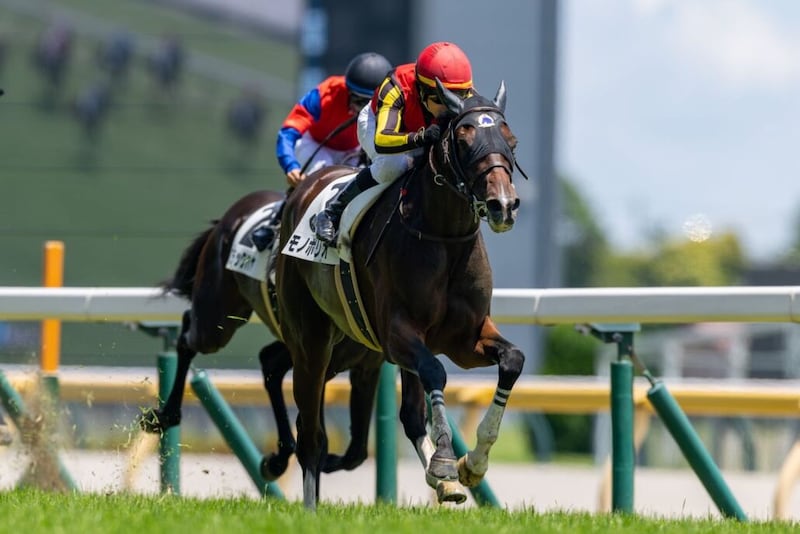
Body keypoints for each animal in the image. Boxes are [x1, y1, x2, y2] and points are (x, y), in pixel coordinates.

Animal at [138, 188, 383, 480]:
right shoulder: (322, 360)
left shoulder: (365, 365)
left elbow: (356, 451)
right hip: (216, 321)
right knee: (189, 333)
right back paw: (164, 416)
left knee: (269, 361)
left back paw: (279, 457)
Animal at [276, 79, 525, 509]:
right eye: (465, 140)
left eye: (510, 140)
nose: (503, 205)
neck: (444, 239)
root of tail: (304, 186)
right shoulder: (396, 336)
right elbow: (435, 371)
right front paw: (445, 461)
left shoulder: (466, 338)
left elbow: (512, 359)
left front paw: (472, 464)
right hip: (311, 343)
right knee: (309, 433)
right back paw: (309, 507)